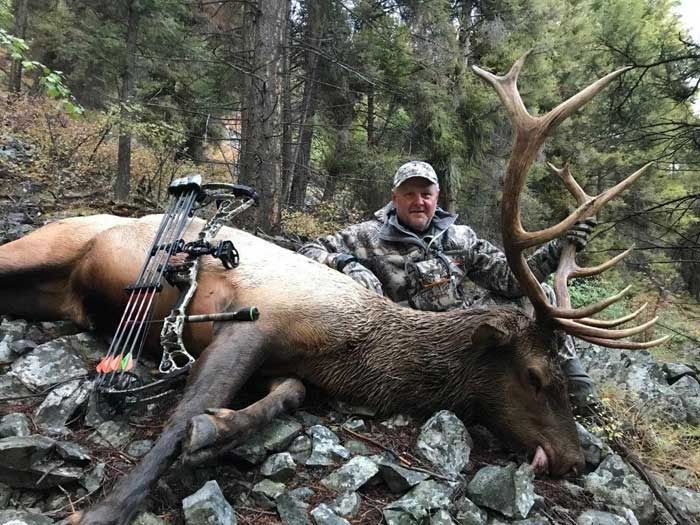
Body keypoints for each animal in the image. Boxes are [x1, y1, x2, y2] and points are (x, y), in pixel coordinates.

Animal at [0, 54, 667, 525]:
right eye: (535, 375)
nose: (578, 459)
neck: (353, 348)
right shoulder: (251, 321)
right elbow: (180, 417)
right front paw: (104, 509)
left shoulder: (287, 364)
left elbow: (284, 396)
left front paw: (220, 427)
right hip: (48, 244)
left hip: (55, 291)